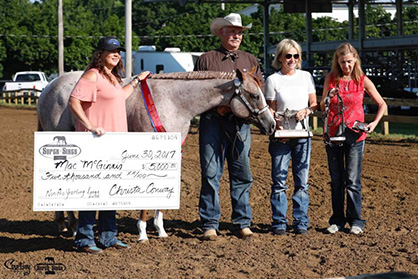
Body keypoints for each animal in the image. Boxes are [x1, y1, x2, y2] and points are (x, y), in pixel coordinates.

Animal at [37, 69, 276, 237]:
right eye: (255, 95)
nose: (272, 124)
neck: (173, 101)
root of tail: (50, 87)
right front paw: (143, 231)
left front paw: (160, 230)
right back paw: (73, 225)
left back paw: (64, 223)